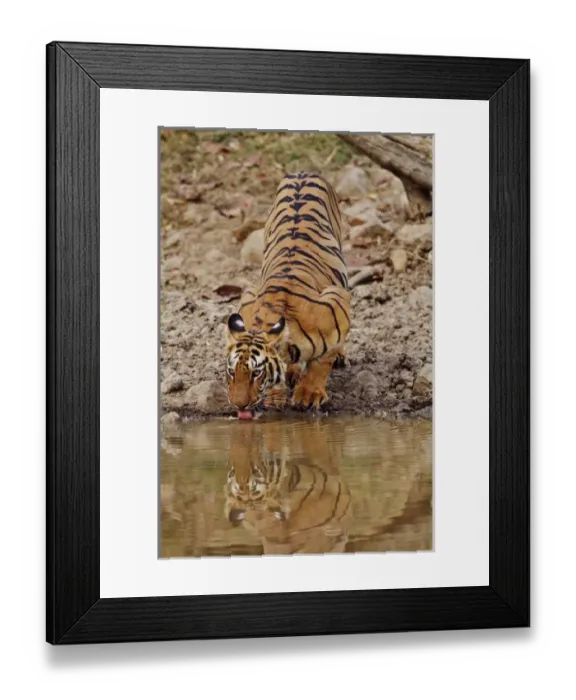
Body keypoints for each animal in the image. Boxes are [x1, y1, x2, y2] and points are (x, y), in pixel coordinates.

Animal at [225, 172, 350, 418]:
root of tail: (302, 172)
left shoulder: (337, 300)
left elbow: (321, 362)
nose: (239, 406)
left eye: (256, 373)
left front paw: (309, 395)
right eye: (232, 372)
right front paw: (276, 395)